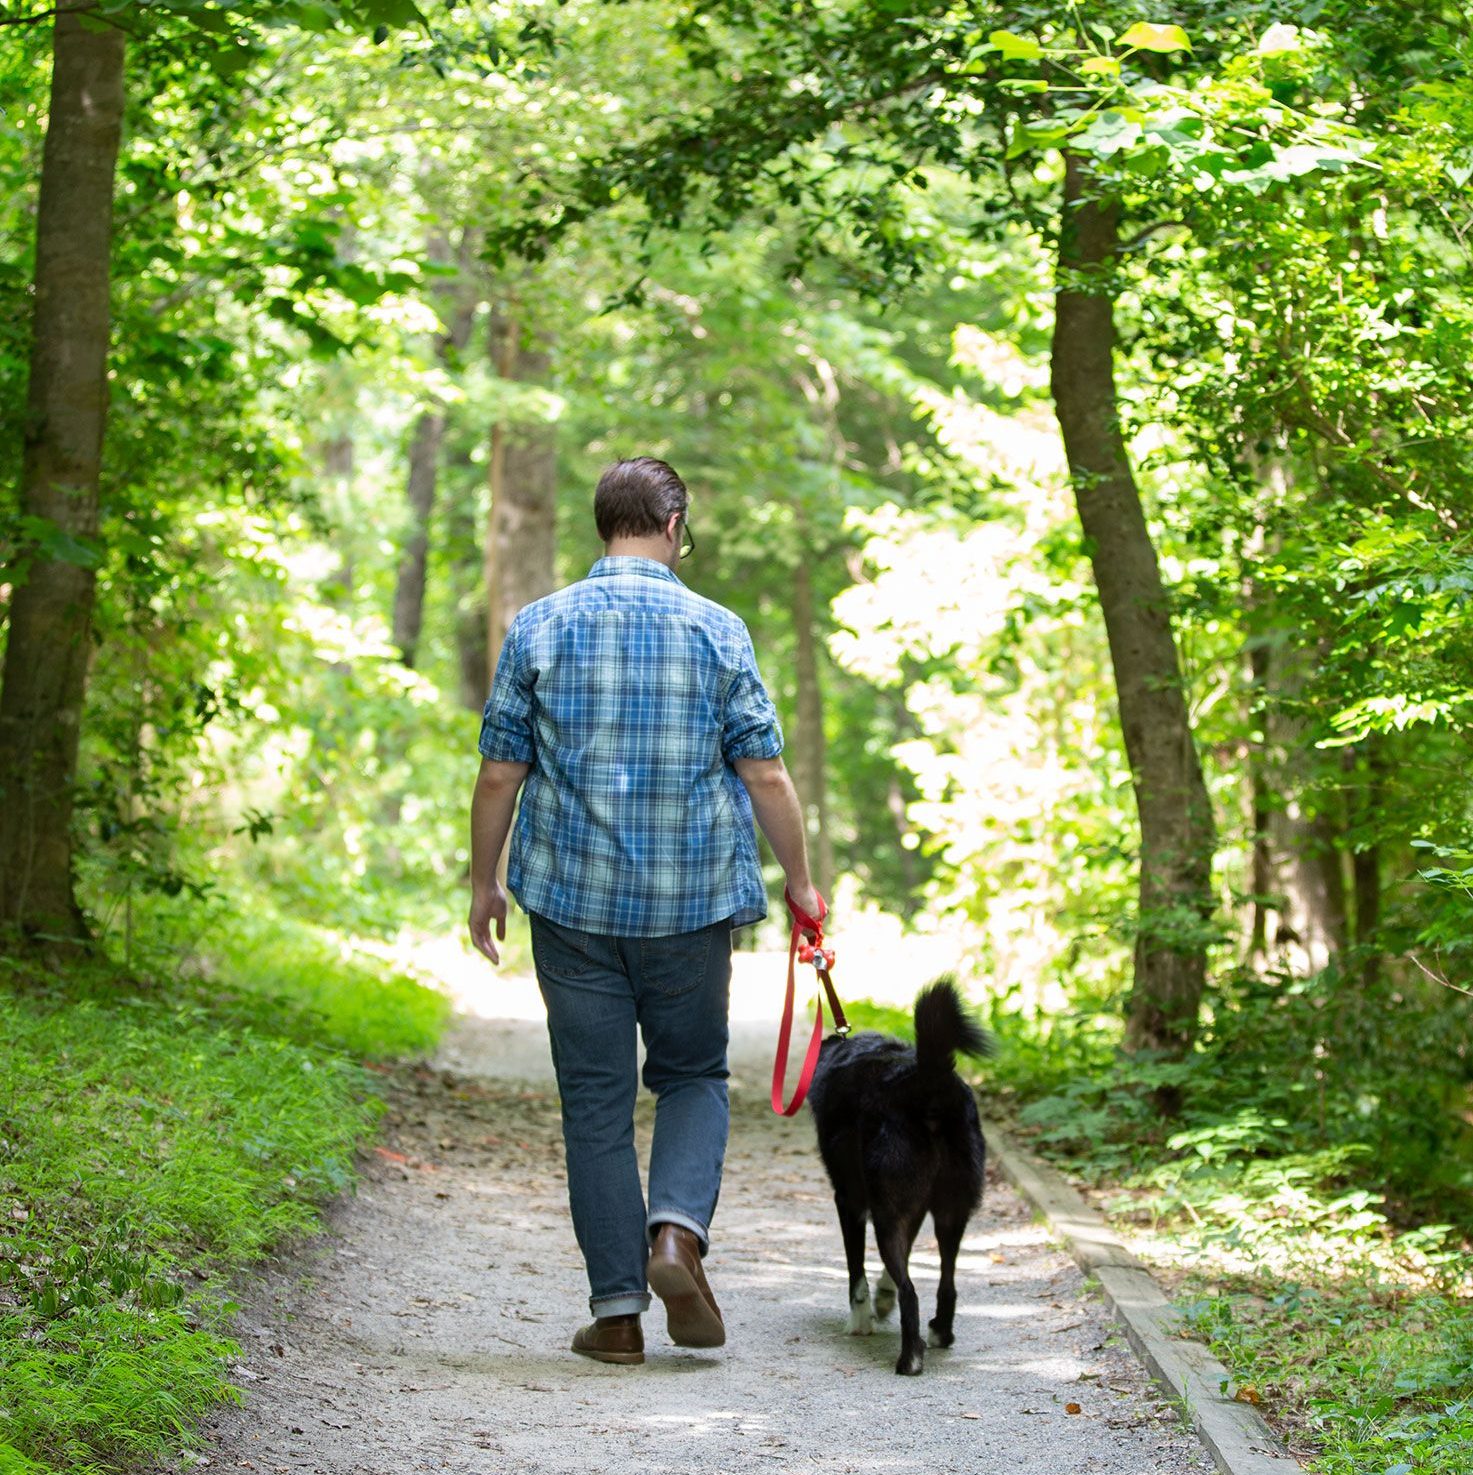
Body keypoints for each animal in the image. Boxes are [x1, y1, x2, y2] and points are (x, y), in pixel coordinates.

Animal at [808, 979, 990, 1368]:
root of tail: (929, 1082)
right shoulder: (914, 1209)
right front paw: (882, 1296)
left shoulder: (849, 1202)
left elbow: (857, 1275)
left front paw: (860, 1321)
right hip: (951, 1213)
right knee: (947, 1283)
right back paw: (939, 1333)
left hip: (888, 1214)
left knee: (912, 1293)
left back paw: (910, 1360)